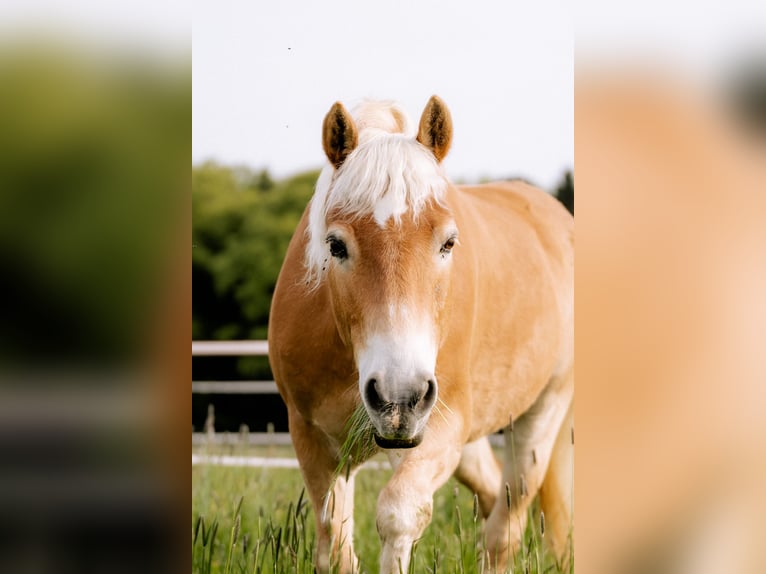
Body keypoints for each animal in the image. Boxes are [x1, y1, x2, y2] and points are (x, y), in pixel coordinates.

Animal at [268, 97, 572, 572]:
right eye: (335, 245)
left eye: (448, 243)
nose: (400, 398)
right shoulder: (313, 440)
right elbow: (334, 545)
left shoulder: (444, 427)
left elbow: (399, 515)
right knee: (492, 497)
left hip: (541, 417)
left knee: (505, 527)